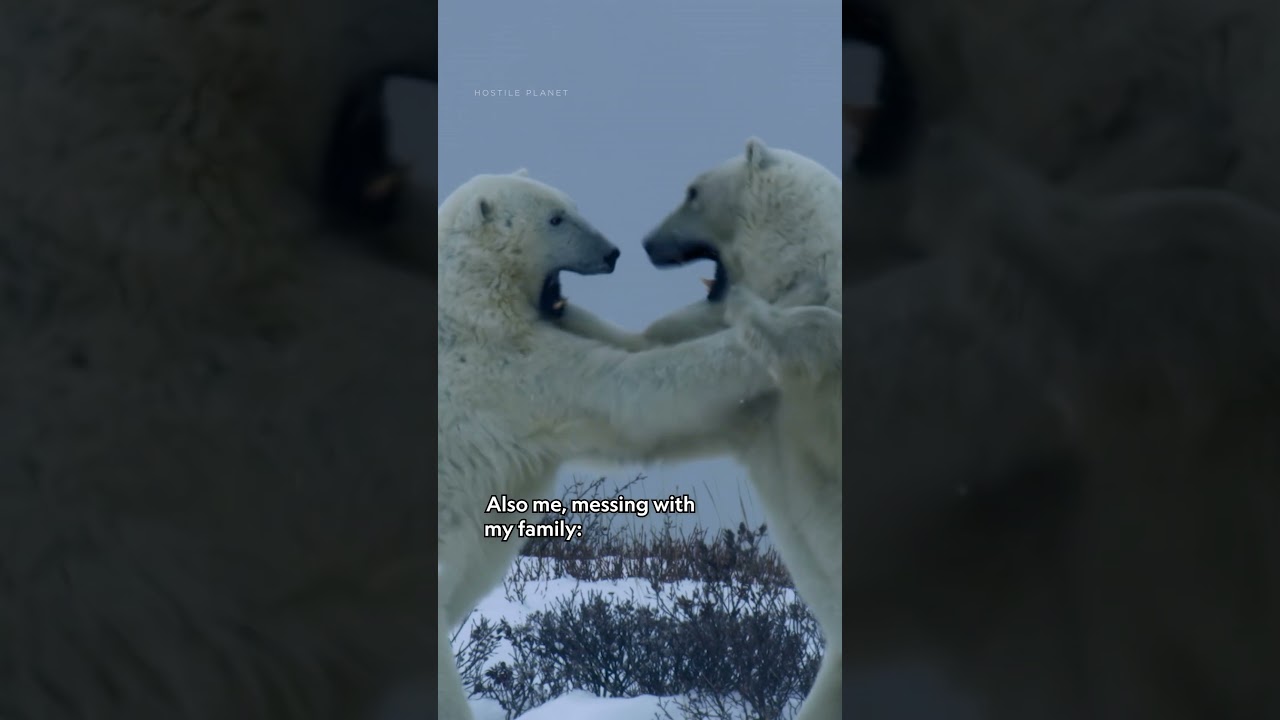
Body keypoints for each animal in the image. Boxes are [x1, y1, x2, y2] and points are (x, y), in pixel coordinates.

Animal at [436, 169, 787, 720]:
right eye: (556, 219)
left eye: (571, 206)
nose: (612, 253)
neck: (470, 301)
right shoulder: (512, 370)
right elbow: (630, 392)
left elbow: (636, 343)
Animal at [554, 138, 845, 719]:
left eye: (692, 191)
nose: (645, 243)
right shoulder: (757, 407)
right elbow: (648, 358)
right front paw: (556, 302)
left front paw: (765, 310)